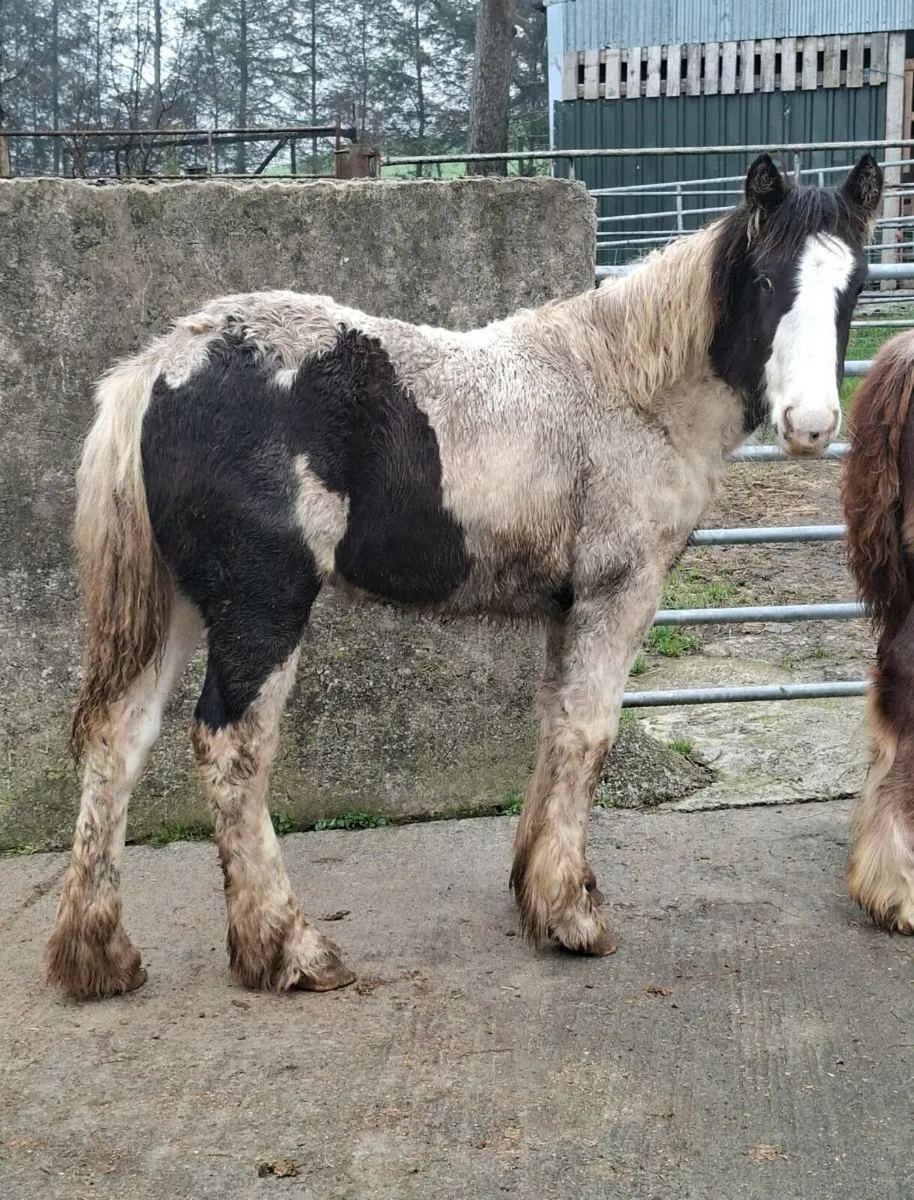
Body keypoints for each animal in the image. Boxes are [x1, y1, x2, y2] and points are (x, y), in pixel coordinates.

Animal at [47, 153, 882, 999]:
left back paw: (98, 954)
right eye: (769, 280)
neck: (629, 391)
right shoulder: (619, 595)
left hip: (183, 603)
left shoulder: (566, 607)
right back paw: (288, 948)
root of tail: (161, 365)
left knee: (119, 737)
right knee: (233, 747)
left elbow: (554, 725)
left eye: (856, 282)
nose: (812, 425)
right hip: (261, 605)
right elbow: (590, 734)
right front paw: (573, 916)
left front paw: (535, 894)